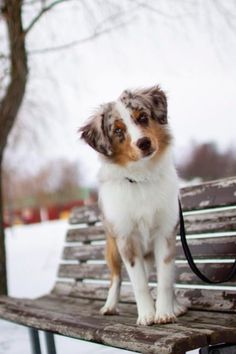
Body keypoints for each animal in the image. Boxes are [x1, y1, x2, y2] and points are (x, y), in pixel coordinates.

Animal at [80, 86, 187, 326]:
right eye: (118, 131)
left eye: (143, 118)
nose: (144, 143)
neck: (141, 177)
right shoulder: (125, 238)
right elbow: (138, 283)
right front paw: (147, 315)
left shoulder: (166, 233)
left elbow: (165, 280)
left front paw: (164, 313)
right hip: (111, 247)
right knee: (116, 278)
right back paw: (110, 305)